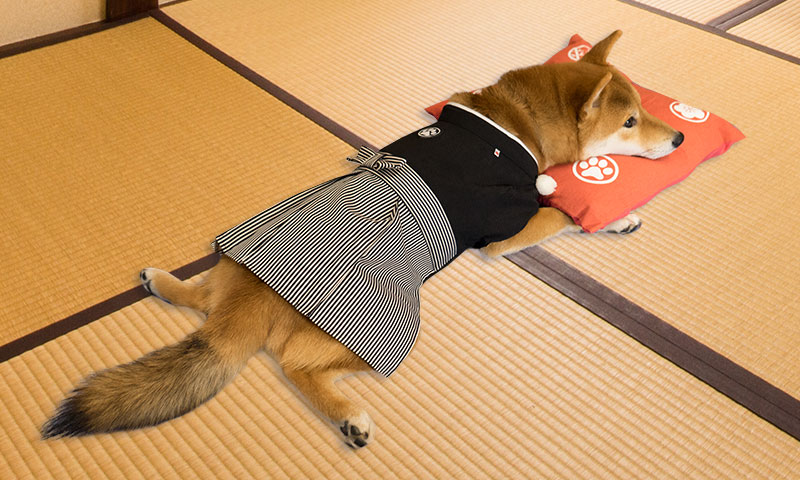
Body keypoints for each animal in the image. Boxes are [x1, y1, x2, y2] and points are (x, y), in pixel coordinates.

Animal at [42, 31, 680, 448]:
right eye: (630, 122)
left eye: (643, 112)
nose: (676, 138)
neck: (514, 125)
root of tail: (255, 295)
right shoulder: (508, 227)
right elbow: (560, 212)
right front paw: (601, 215)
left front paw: (616, 218)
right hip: (383, 334)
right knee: (296, 366)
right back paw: (350, 417)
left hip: (224, 271)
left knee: (200, 299)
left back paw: (160, 280)